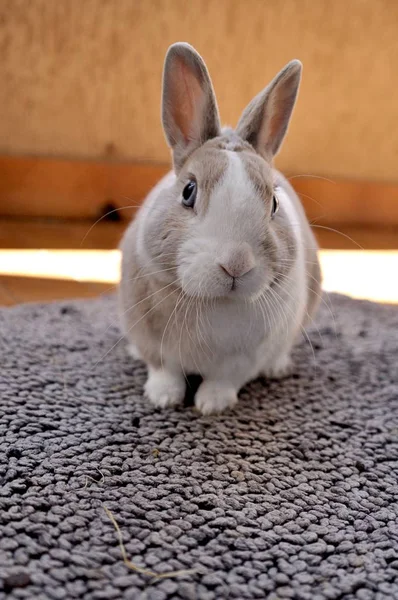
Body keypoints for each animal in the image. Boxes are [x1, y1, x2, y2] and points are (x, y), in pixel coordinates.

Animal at [118, 42, 320, 414]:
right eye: (188, 191)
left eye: (274, 203)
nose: (236, 264)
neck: (214, 302)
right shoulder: (153, 340)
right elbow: (164, 370)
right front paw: (162, 399)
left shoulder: (244, 360)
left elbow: (225, 379)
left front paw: (212, 405)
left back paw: (278, 368)